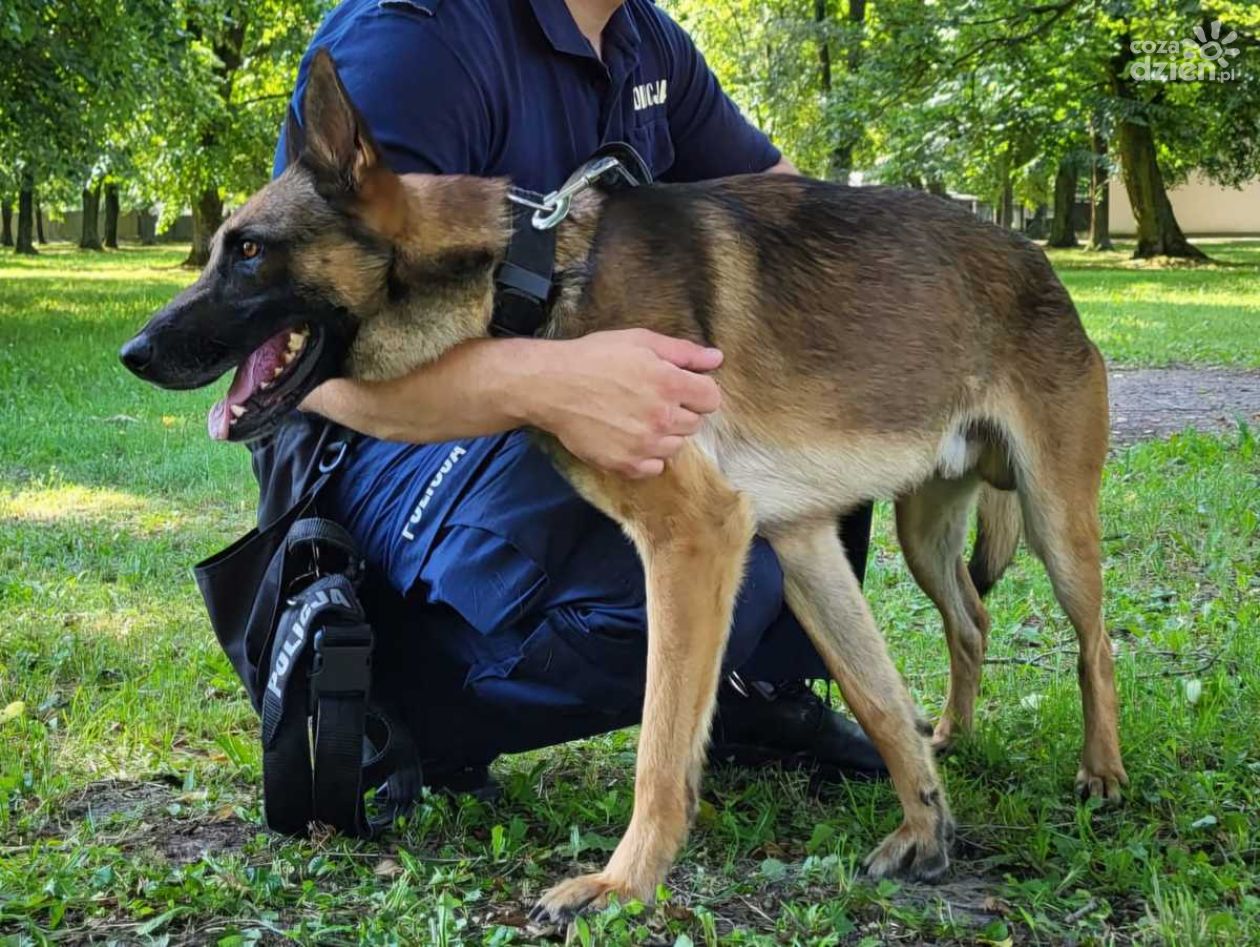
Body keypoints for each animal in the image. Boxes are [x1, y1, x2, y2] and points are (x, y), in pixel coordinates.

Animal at [122, 50, 1128, 916]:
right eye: (220, 247)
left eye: (249, 250)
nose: (135, 352)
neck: (530, 276)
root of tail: (1036, 258)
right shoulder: (794, 544)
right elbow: (877, 698)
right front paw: (925, 820)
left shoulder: (694, 538)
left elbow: (661, 740)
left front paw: (622, 882)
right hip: (923, 532)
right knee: (972, 617)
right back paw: (952, 731)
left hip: (1056, 521)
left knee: (1093, 640)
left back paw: (1104, 771)